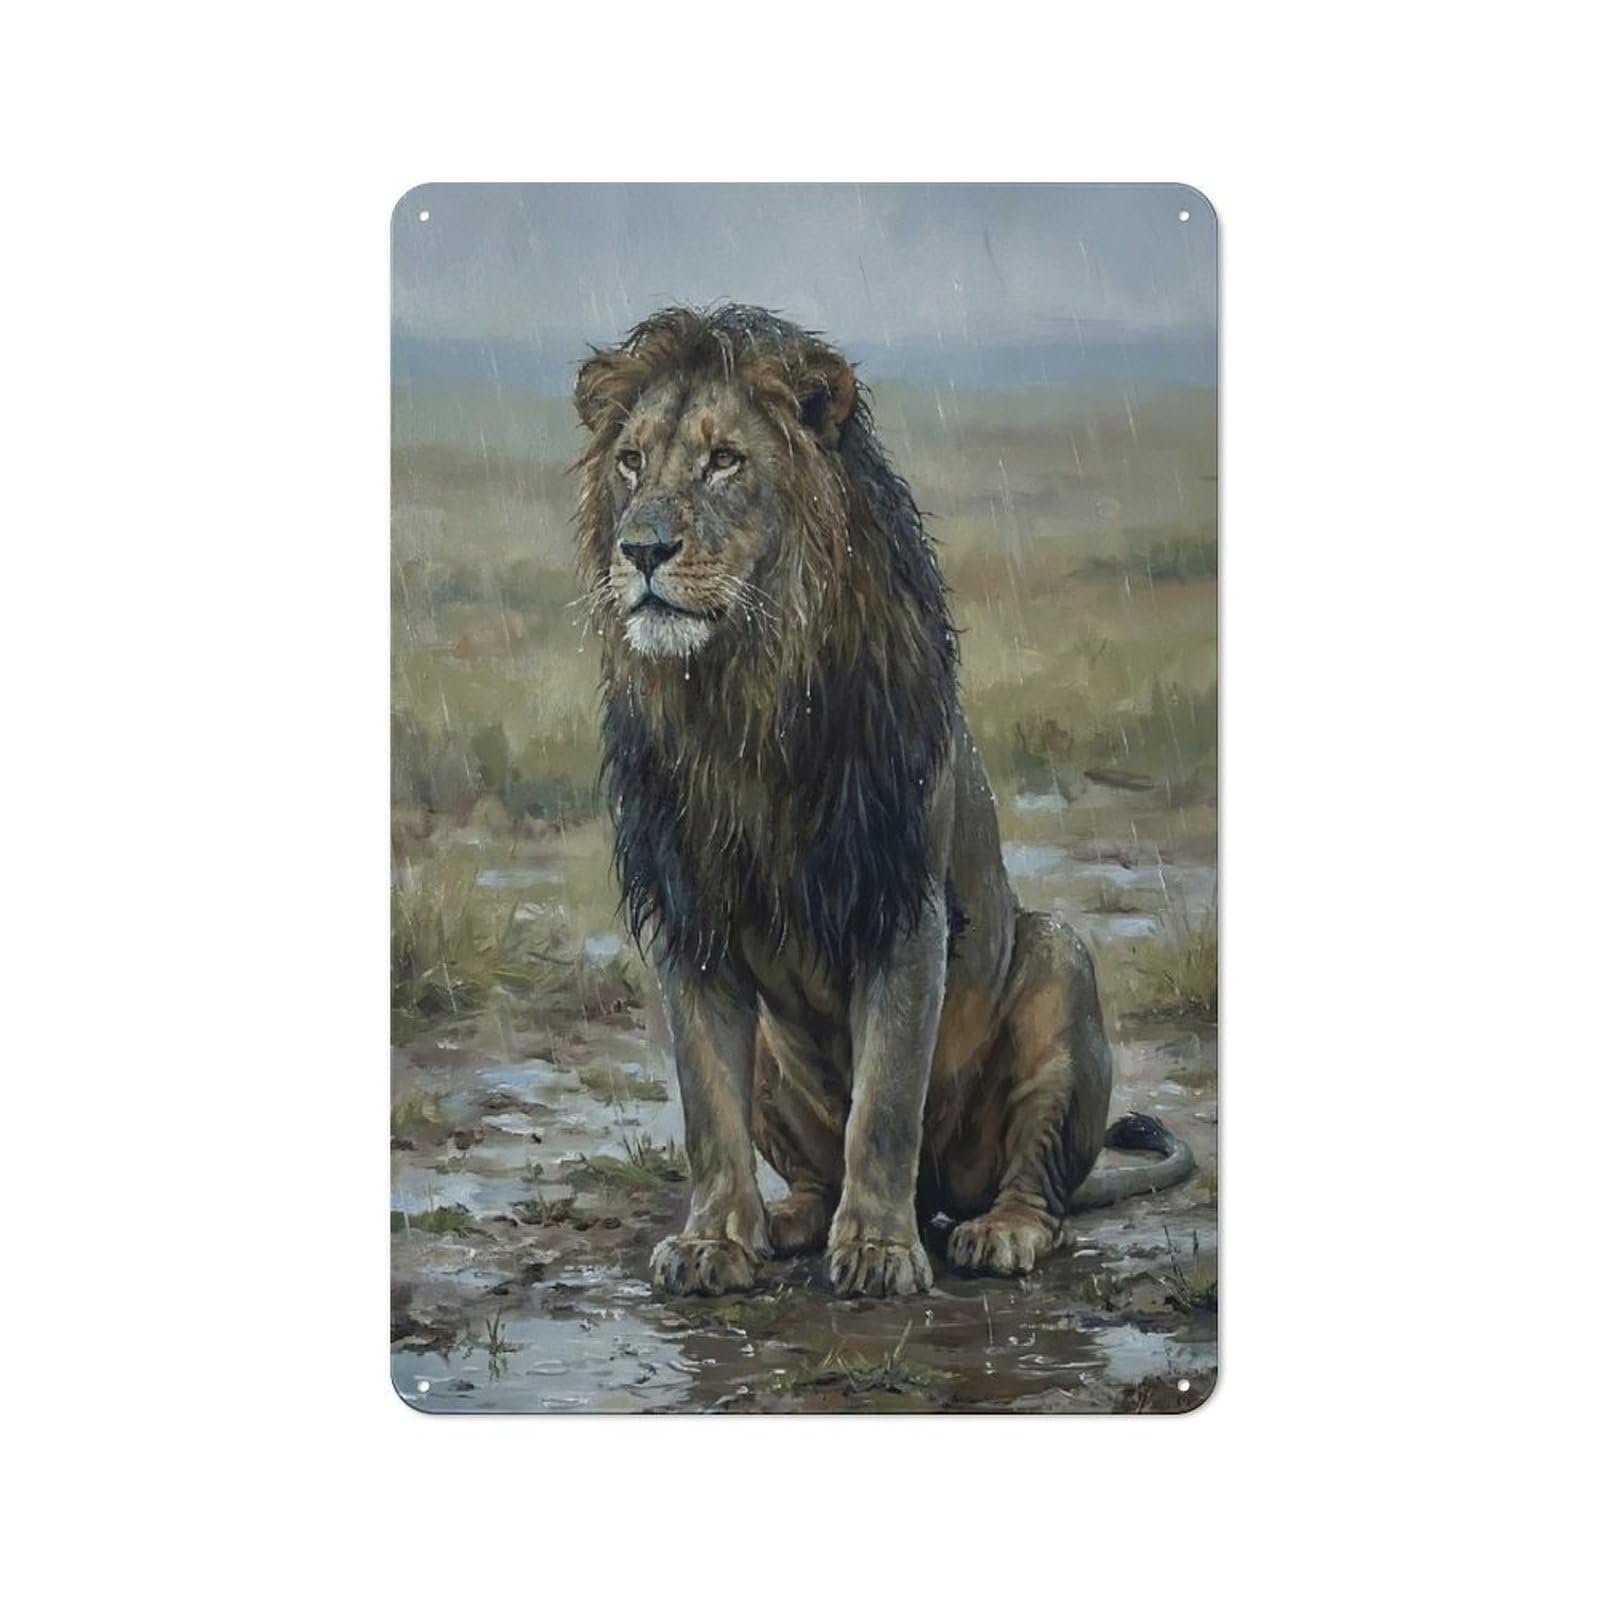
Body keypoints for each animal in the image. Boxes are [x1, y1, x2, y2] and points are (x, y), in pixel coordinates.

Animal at [573, 305, 1193, 1298]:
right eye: (631, 461)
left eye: (724, 461)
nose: (641, 549)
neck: (740, 693)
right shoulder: (691, 914)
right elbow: (708, 1105)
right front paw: (713, 1240)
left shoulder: (903, 907)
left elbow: (888, 1102)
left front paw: (877, 1249)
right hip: (779, 1057)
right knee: (810, 1168)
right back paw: (786, 1222)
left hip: (1059, 958)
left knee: (1038, 1185)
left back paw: (995, 1232)